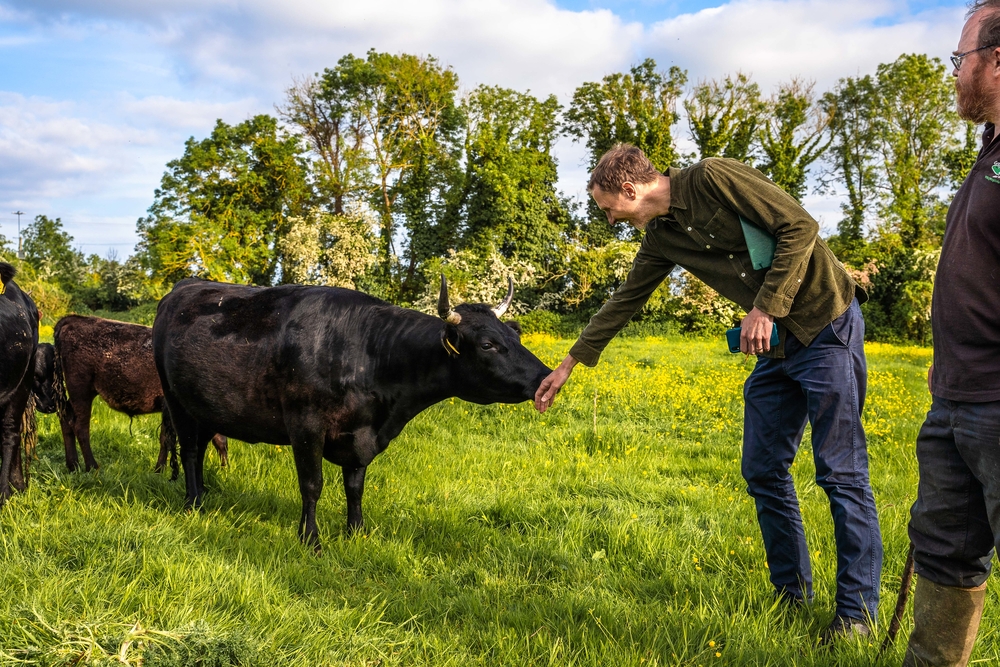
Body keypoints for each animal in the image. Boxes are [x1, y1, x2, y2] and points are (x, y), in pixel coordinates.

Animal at [44, 315, 228, 476]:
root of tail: (73, 320)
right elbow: (166, 438)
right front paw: (159, 470)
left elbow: (219, 439)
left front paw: (224, 470)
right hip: (81, 391)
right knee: (80, 427)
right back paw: (92, 467)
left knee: (66, 419)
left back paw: (73, 465)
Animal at [153, 276, 551, 550]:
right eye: (487, 344)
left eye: (514, 335)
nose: (545, 377)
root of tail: (186, 286)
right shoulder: (305, 425)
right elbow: (312, 485)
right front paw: (311, 540)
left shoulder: (360, 435)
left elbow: (355, 487)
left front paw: (356, 532)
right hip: (176, 400)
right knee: (189, 451)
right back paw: (193, 503)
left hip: (206, 406)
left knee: (201, 447)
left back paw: (205, 493)